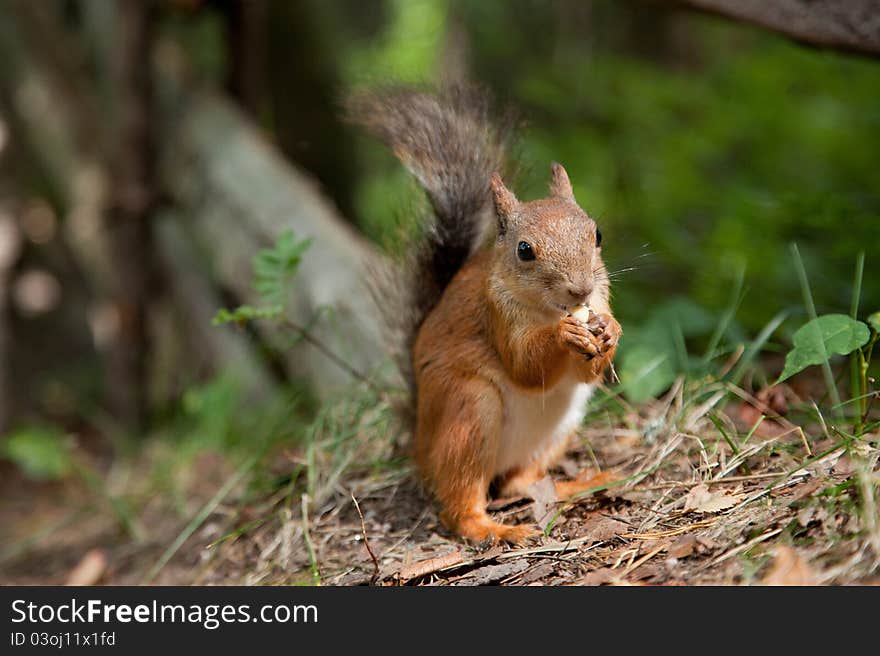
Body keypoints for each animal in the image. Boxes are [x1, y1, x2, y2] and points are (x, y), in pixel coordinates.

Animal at [350, 87, 620, 544]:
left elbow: (588, 371)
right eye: (524, 250)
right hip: (469, 414)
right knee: (460, 505)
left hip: (558, 428)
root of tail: (419, 443)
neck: (548, 309)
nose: (580, 289)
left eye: (596, 234)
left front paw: (611, 331)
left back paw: (577, 484)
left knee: (517, 482)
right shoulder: (497, 314)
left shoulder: (600, 300)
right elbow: (525, 367)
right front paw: (564, 335)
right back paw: (496, 529)